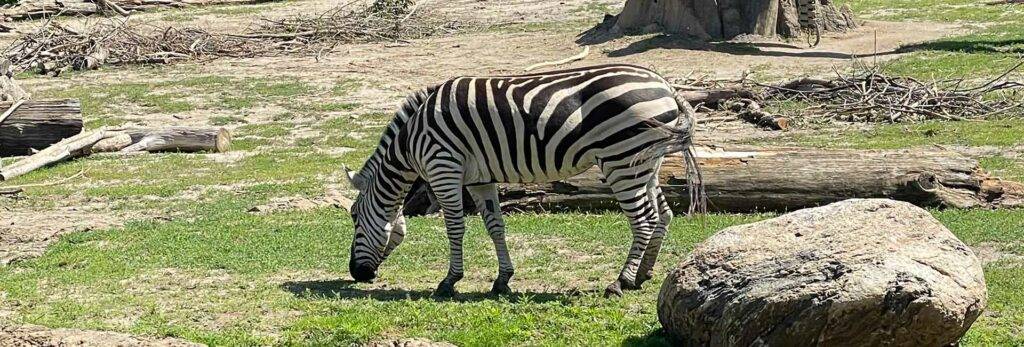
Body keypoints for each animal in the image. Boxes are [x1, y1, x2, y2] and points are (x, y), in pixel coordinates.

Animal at [344, 63, 704, 296]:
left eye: (354, 217)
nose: (356, 274)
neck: (410, 140)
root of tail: (667, 86)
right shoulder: (479, 179)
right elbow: (495, 227)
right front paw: (502, 280)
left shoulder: (443, 167)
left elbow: (455, 228)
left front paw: (449, 281)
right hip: (647, 161)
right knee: (663, 215)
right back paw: (643, 274)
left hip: (622, 160)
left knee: (644, 220)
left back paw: (621, 282)